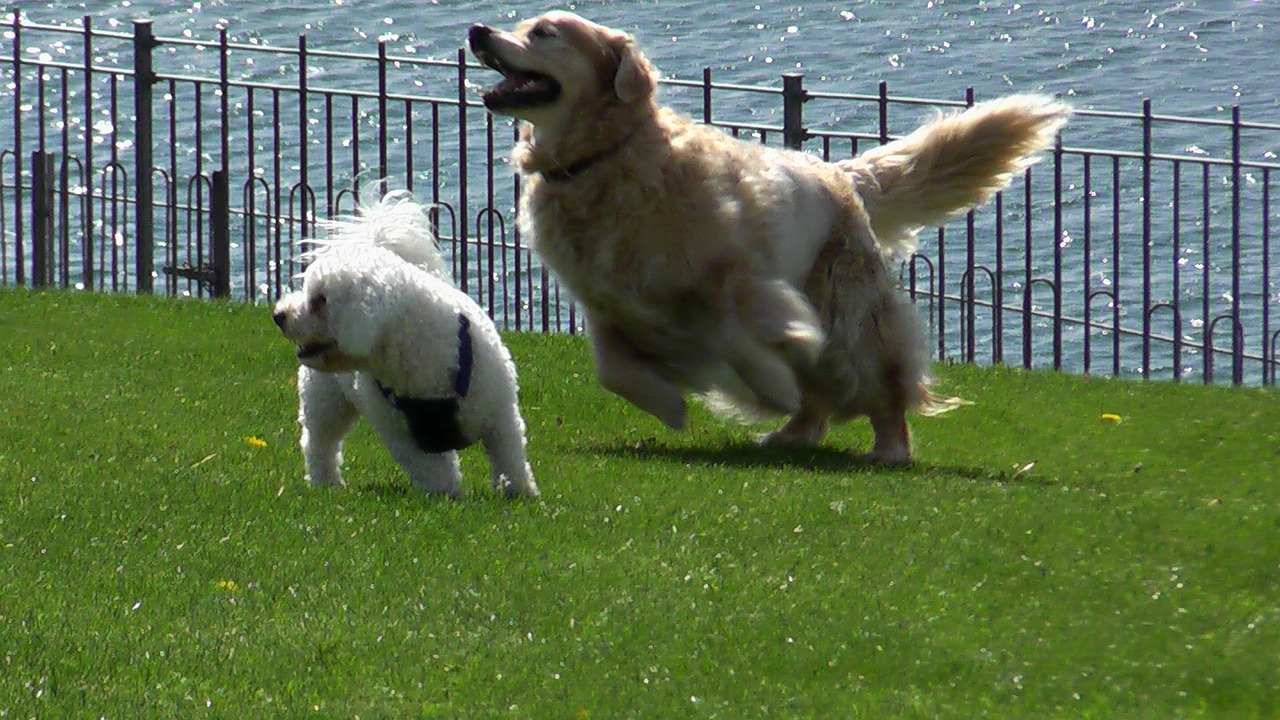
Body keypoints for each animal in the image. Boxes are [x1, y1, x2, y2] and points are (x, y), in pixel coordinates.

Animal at [273, 188, 540, 497]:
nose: (279, 315)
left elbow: (510, 456)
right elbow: (436, 472)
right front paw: (448, 499)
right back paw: (326, 482)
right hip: (325, 399)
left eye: (319, 300)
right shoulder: (408, 439)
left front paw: (519, 493)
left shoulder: (500, 416)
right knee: (320, 443)